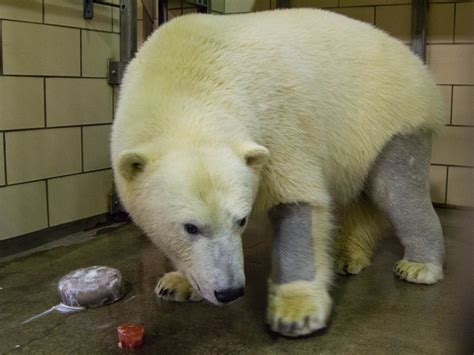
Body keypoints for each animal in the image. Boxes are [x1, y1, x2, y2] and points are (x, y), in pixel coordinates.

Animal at [110, 7, 444, 336]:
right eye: (190, 227)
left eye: (241, 220)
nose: (230, 292)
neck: (185, 79)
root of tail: (415, 61)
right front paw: (176, 283)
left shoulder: (277, 123)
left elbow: (297, 202)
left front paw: (296, 314)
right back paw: (347, 256)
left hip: (391, 120)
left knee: (399, 190)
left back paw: (419, 266)